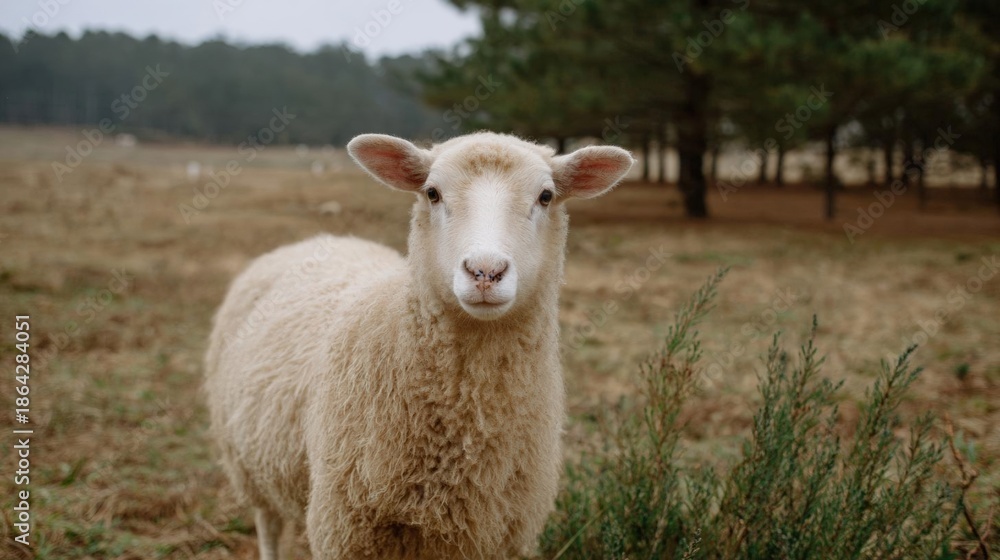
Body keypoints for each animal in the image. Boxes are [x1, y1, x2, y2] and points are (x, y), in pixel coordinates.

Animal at [204, 132, 634, 560]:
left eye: (546, 196)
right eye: (432, 192)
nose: (485, 271)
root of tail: (320, 240)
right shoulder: (343, 529)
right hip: (248, 466)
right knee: (268, 526)